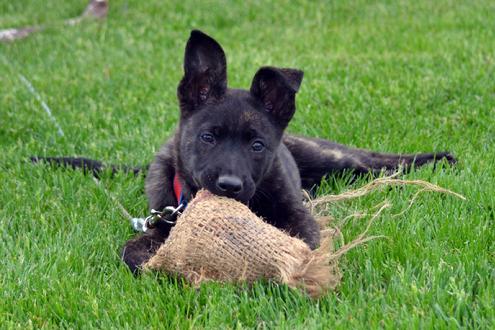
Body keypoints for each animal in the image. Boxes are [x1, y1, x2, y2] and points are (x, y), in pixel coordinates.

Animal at [121, 31, 458, 272]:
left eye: (257, 146)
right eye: (207, 137)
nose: (229, 186)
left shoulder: (298, 215)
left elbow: (303, 243)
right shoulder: (161, 225)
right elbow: (129, 251)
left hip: (331, 159)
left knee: (377, 162)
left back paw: (435, 162)